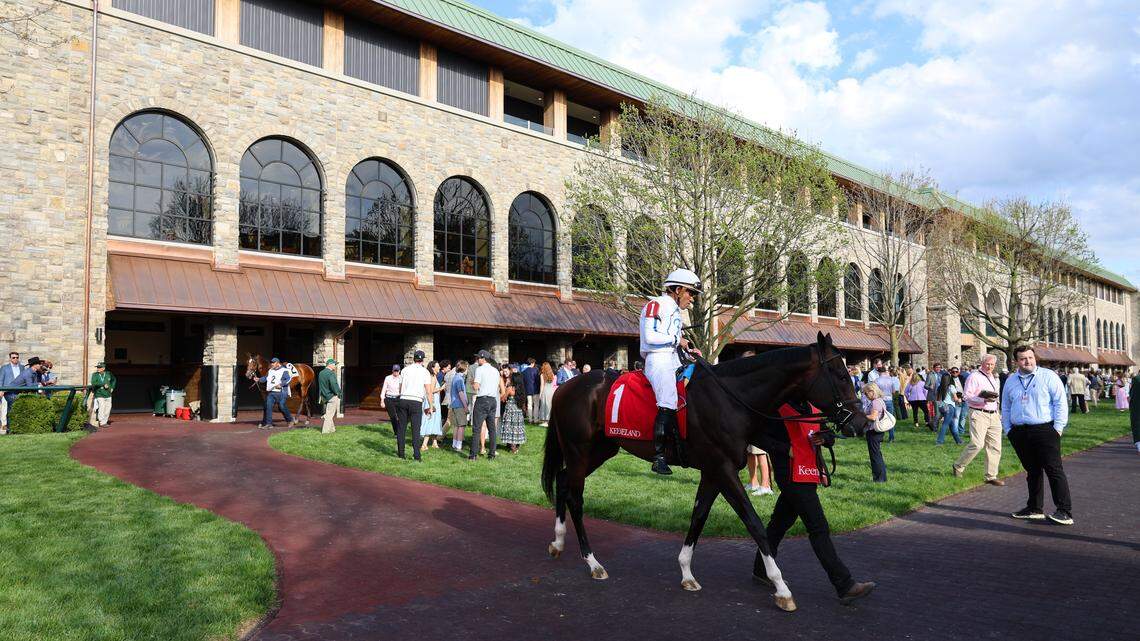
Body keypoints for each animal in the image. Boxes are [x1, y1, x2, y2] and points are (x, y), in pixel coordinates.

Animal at [540, 332, 870, 612]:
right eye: (841, 375)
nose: (861, 423)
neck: (731, 398)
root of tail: (565, 387)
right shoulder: (724, 469)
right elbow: (754, 523)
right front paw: (781, 588)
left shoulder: (713, 471)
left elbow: (698, 516)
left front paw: (686, 573)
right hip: (580, 450)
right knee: (576, 498)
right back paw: (593, 562)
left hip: (601, 449)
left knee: (563, 481)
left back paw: (558, 542)